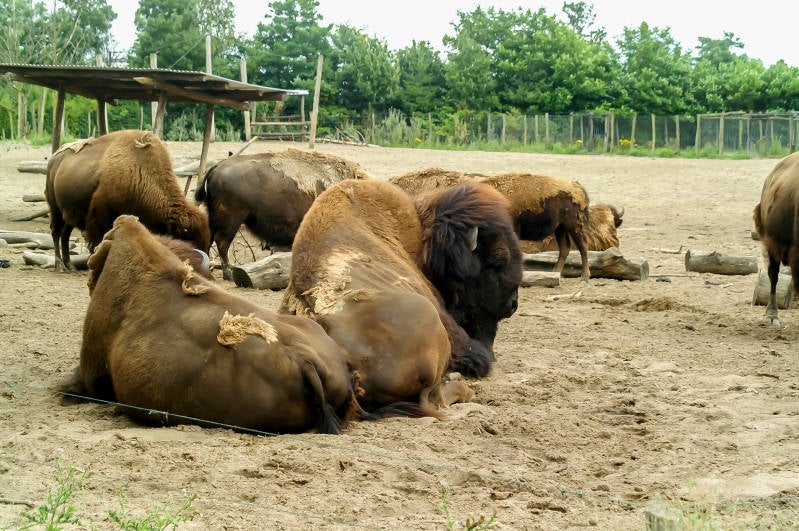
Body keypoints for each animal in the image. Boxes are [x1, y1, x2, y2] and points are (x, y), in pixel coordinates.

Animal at [44, 130, 210, 271]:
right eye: (188, 239)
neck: (140, 170)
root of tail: (54, 159)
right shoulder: (100, 214)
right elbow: (98, 241)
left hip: (69, 214)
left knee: (65, 235)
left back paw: (69, 264)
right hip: (55, 208)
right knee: (56, 232)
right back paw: (59, 265)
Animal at [194, 148, 371, 280]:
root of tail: (217, 167)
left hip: (215, 217)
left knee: (209, 240)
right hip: (231, 220)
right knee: (222, 243)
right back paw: (228, 274)